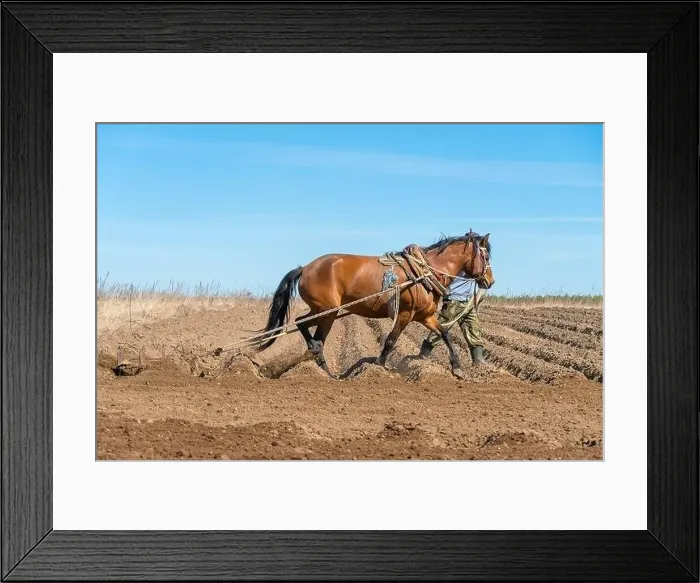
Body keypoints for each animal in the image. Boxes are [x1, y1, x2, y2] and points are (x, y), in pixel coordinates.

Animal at [256, 231, 495, 379]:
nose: (490, 281)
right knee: (301, 322)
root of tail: (305, 267)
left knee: (316, 336)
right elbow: (390, 341)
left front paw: (457, 368)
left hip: (327, 313)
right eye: (486, 257)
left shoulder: (425, 316)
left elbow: (444, 334)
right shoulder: (405, 314)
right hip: (326, 310)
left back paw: (324, 369)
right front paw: (378, 368)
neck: (424, 273)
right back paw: (316, 355)